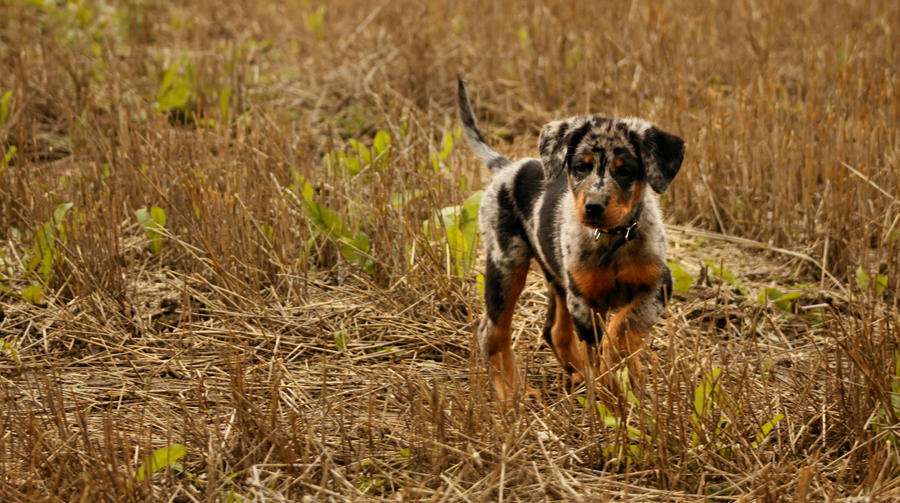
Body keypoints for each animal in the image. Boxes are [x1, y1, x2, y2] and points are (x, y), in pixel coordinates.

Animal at [458, 79, 684, 404]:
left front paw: (627, 379)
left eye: (625, 170)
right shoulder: (583, 300)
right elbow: (601, 347)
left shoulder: (658, 286)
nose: (594, 207)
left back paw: (578, 376)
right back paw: (514, 394)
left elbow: (624, 329)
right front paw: (610, 386)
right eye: (580, 167)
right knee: (492, 331)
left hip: (556, 277)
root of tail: (507, 168)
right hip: (507, 263)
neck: (612, 240)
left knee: (554, 331)